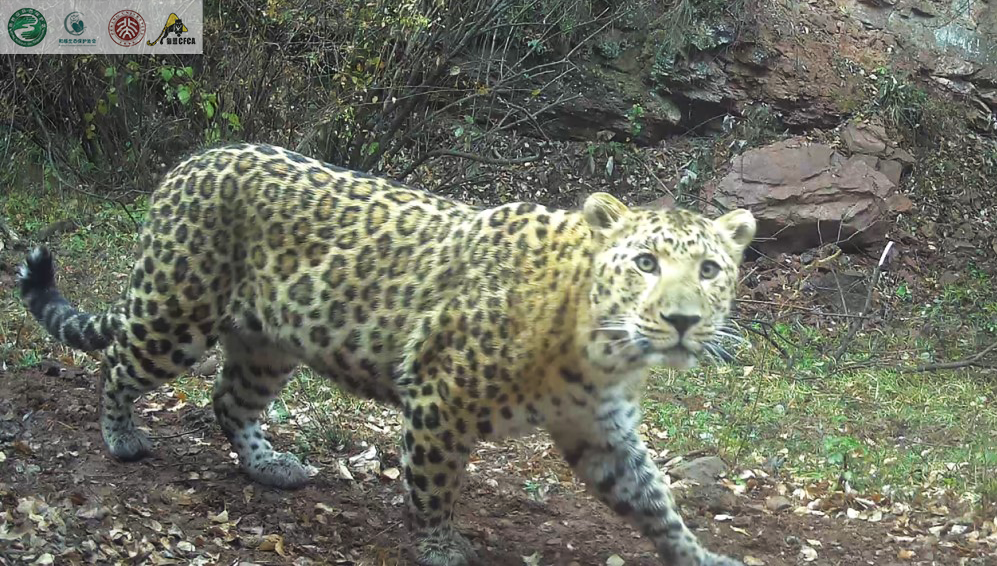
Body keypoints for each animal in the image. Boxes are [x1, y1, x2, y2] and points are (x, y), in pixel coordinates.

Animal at [18, 142, 756, 566]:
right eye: (645, 262)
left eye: (711, 270)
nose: (683, 321)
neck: (602, 349)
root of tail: (187, 165)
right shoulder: (439, 395)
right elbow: (433, 484)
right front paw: (440, 548)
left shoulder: (600, 429)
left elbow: (654, 501)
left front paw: (702, 557)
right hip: (178, 309)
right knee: (118, 361)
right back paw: (122, 439)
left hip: (268, 343)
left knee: (228, 399)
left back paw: (271, 467)